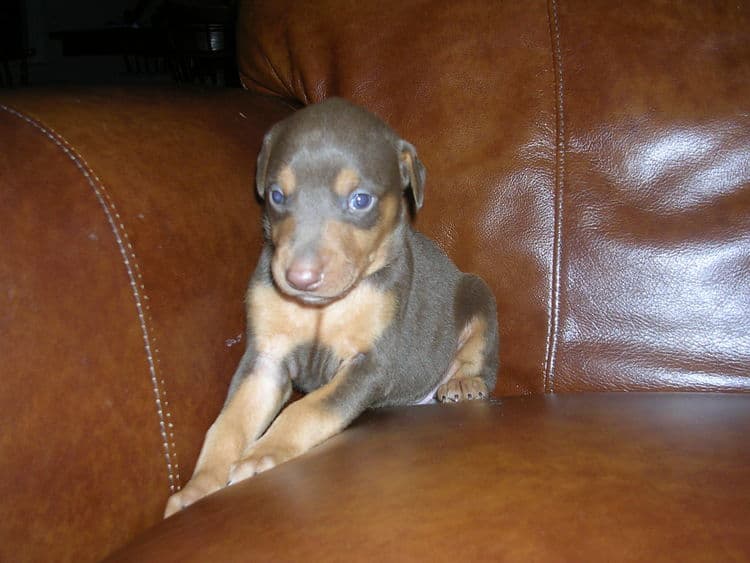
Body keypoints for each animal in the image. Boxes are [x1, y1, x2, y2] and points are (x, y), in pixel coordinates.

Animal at [167, 98, 502, 520]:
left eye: (360, 200)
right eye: (277, 195)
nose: (300, 277)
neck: (323, 308)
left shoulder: (370, 364)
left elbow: (308, 409)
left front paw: (262, 454)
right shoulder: (265, 360)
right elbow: (228, 423)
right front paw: (198, 488)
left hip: (478, 296)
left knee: (481, 358)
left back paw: (464, 382)